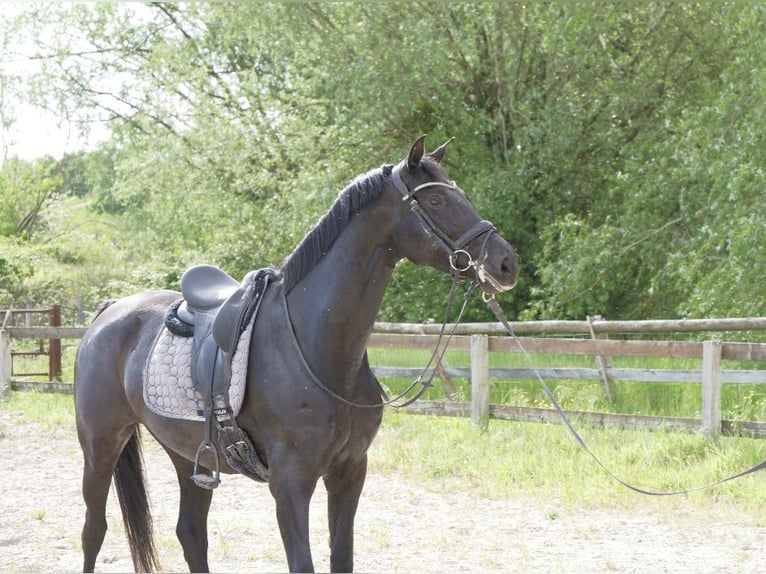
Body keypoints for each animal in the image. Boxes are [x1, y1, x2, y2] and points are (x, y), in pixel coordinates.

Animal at [74, 136, 519, 573]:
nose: (506, 262)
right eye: (436, 200)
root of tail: (107, 313)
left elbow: (341, 557)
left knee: (191, 534)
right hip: (100, 445)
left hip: (189, 455)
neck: (317, 349)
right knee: (94, 530)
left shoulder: (349, 472)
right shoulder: (290, 483)